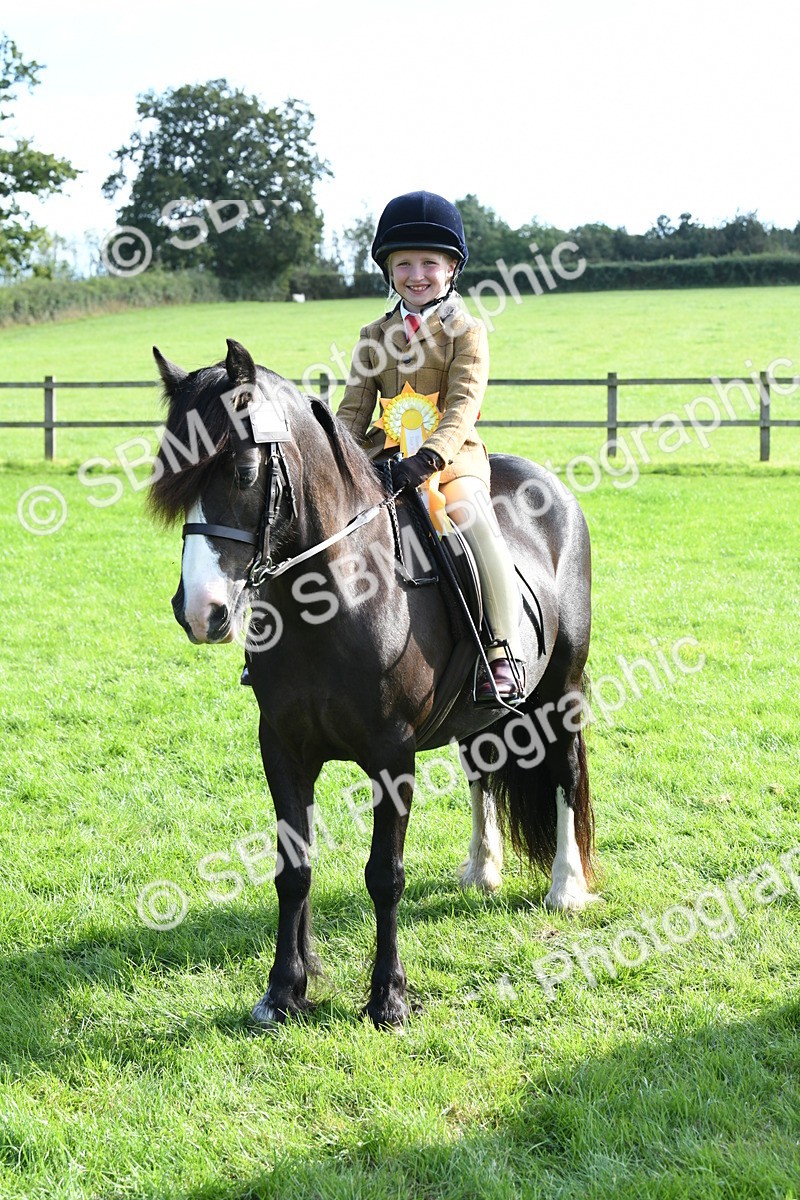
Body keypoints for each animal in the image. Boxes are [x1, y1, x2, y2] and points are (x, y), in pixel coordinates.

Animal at [149, 338, 597, 1029]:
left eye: (245, 472)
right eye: (174, 477)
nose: (200, 612)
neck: (335, 596)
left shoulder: (392, 755)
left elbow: (384, 874)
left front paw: (389, 996)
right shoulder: (282, 749)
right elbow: (293, 870)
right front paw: (284, 991)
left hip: (564, 691)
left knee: (567, 770)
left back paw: (566, 887)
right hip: (481, 714)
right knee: (481, 769)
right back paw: (481, 869)